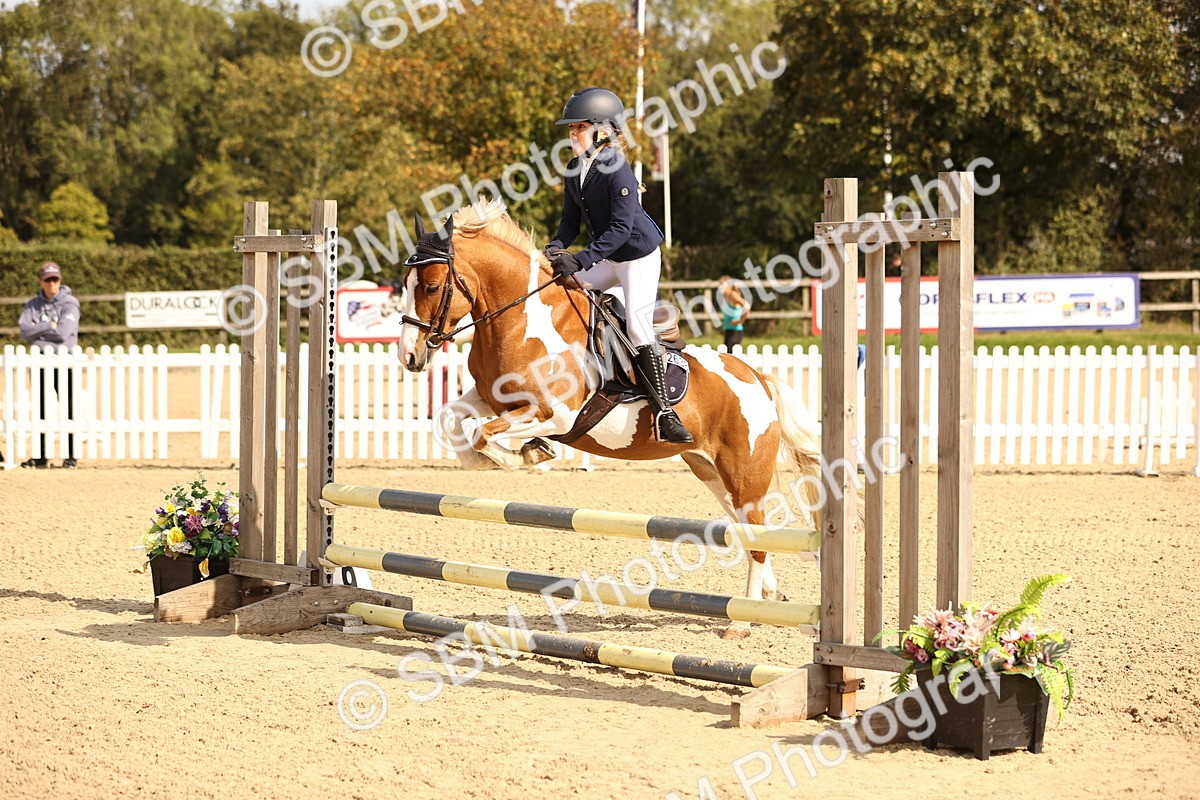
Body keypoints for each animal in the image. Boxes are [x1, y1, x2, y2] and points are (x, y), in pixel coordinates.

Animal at [397, 200, 825, 639]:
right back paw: (766, 599)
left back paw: (740, 622)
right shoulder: (492, 398)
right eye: (405, 284)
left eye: (432, 287)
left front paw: (529, 454)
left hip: (744, 472)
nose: (409, 356)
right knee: (747, 527)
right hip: (712, 472)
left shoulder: (556, 414)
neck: (521, 320)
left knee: (755, 532)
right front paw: (491, 460)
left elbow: (485, 434)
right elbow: (451, 421)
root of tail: (759, 379)